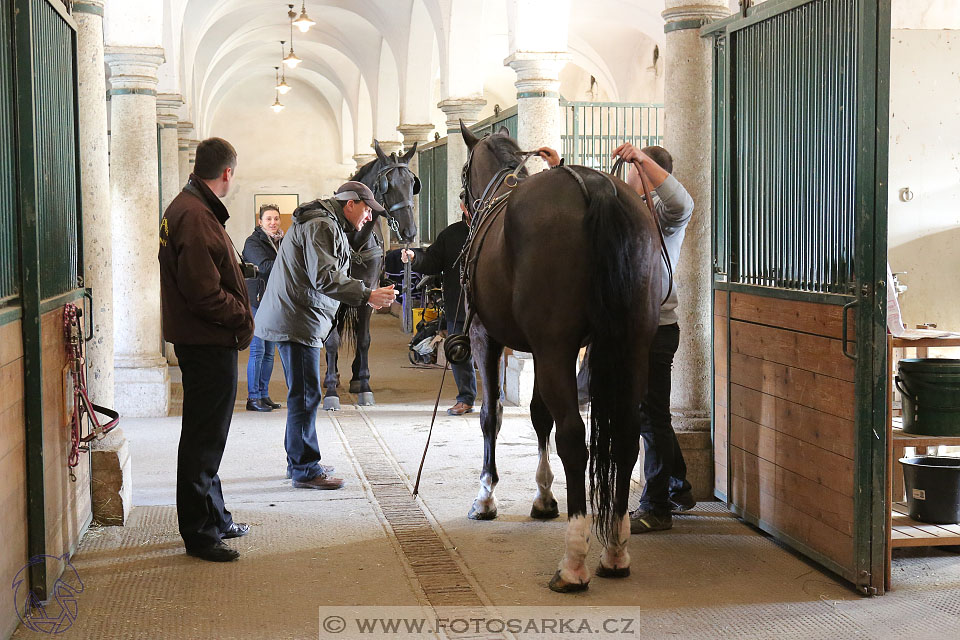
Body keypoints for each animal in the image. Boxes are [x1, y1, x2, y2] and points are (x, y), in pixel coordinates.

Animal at [458, 122, 660, 592]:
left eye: (463, 172)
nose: (463, 208)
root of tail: (597, 188)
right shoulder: (539, 349)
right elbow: (537, 415)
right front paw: (545, 496)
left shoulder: (487, 337)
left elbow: (492, 415)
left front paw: (486, 497)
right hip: (630, 344)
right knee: (625, 435)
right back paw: (615, 551)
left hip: (556, 347)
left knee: (573, 436)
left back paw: (574, 561)